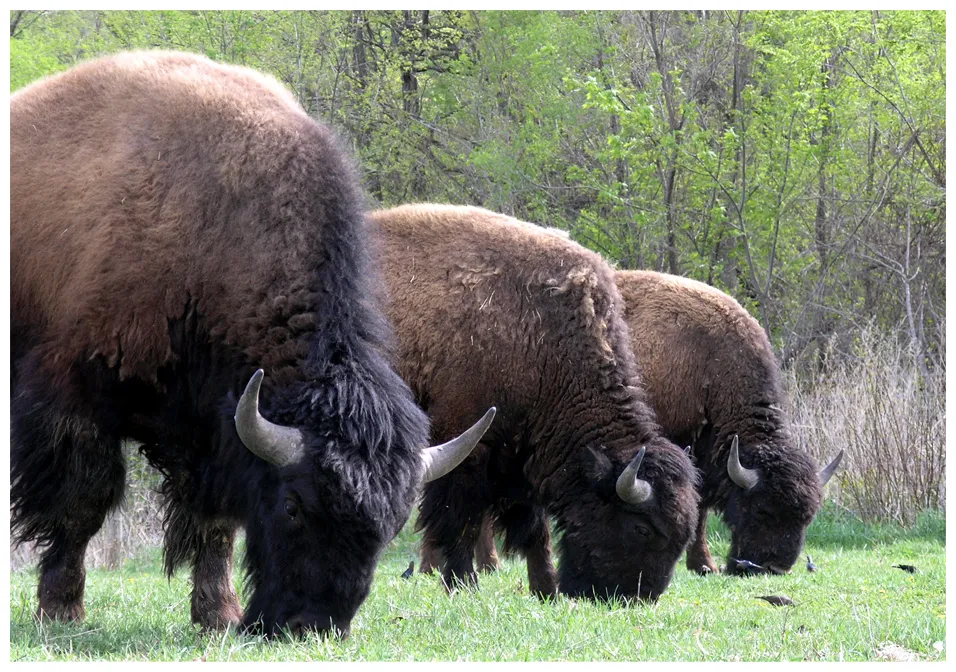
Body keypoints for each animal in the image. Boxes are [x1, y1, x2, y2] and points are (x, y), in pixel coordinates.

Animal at [10, 51, 491, 638]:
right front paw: (61, 610)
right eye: (293, 507)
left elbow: (214, 523)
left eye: (390, 525)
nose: (313, 624)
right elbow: (82, 504)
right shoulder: (75, 401)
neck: (211, 230)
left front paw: (217, 614)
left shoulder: (210, 430)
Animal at [370, 204, 700, 602]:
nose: (635, 596)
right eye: (642, 528)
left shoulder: (525, 456)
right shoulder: (465, 446)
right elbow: (461, 520)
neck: (542, 341)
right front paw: (463, 585)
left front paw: (546, 588)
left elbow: (535, 530)